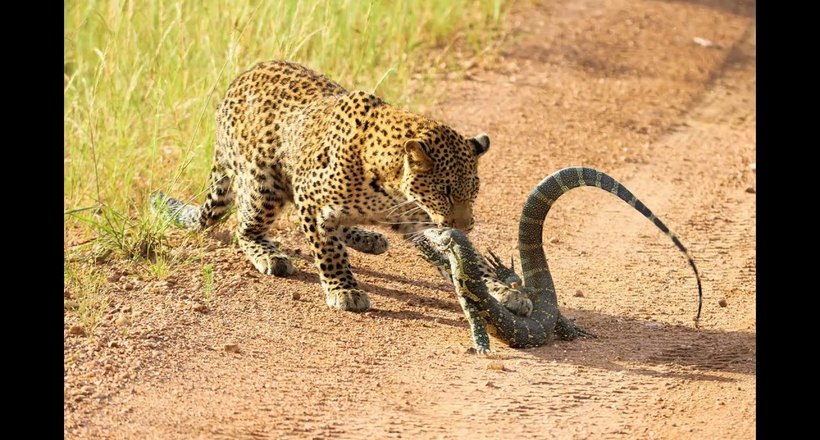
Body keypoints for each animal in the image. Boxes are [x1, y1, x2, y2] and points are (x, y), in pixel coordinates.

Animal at [151, 60, 528, 314]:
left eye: (473, 191)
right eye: (446, 191)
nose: (465, 225)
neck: (390, 185)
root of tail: (235, 84)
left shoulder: (420, 220)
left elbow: (470, 259)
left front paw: (504, 290)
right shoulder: (312, 197)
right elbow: (328, 249)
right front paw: (344, 290)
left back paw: (368, 238)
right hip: (263, 185)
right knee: (245, 229)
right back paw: (270, 255)